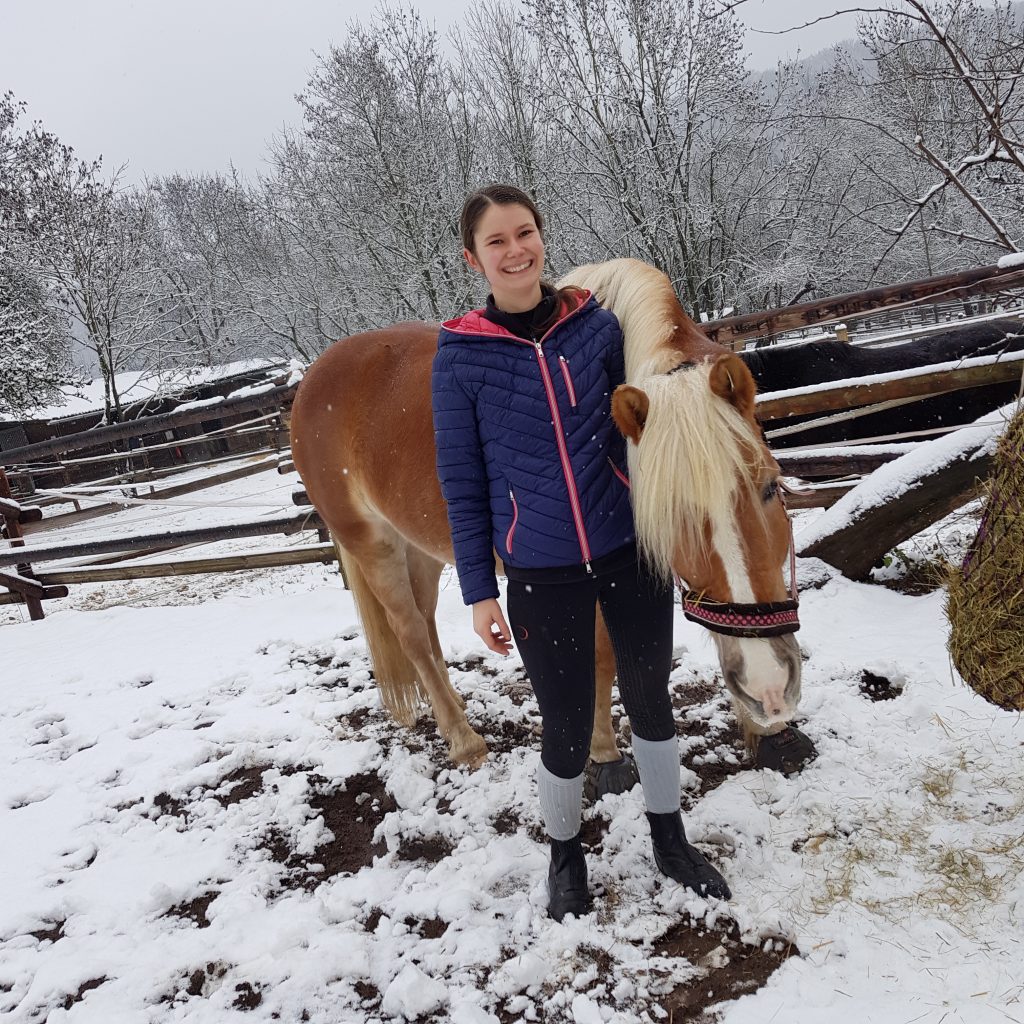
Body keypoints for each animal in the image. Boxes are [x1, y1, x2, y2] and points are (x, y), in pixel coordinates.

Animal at [290, 258, 805, 778]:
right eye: (669, 517)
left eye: (769, 488)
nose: (768, 685)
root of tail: (312, 380)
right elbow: (599, 660)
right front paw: (603, 751)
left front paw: (769, 733)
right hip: (372, 544)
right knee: (411, 633)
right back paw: (463, 739)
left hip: (420, 549)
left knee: (427, 626)